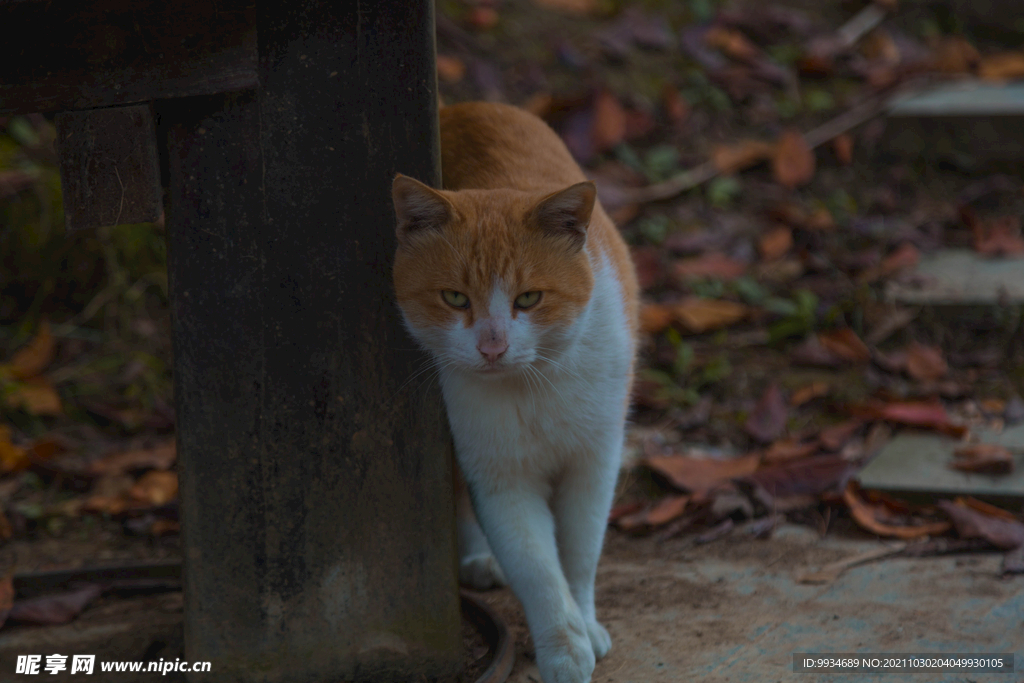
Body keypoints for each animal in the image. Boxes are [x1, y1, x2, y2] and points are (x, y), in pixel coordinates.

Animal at [395, 101, 634, 683]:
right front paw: (564, 649)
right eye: (455, 298)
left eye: (529, 298)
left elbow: (579, 553)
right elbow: (537, 568)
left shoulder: (595, 462)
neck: (533, 384)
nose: (493, 346)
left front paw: (585, 625)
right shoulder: (500, 477)